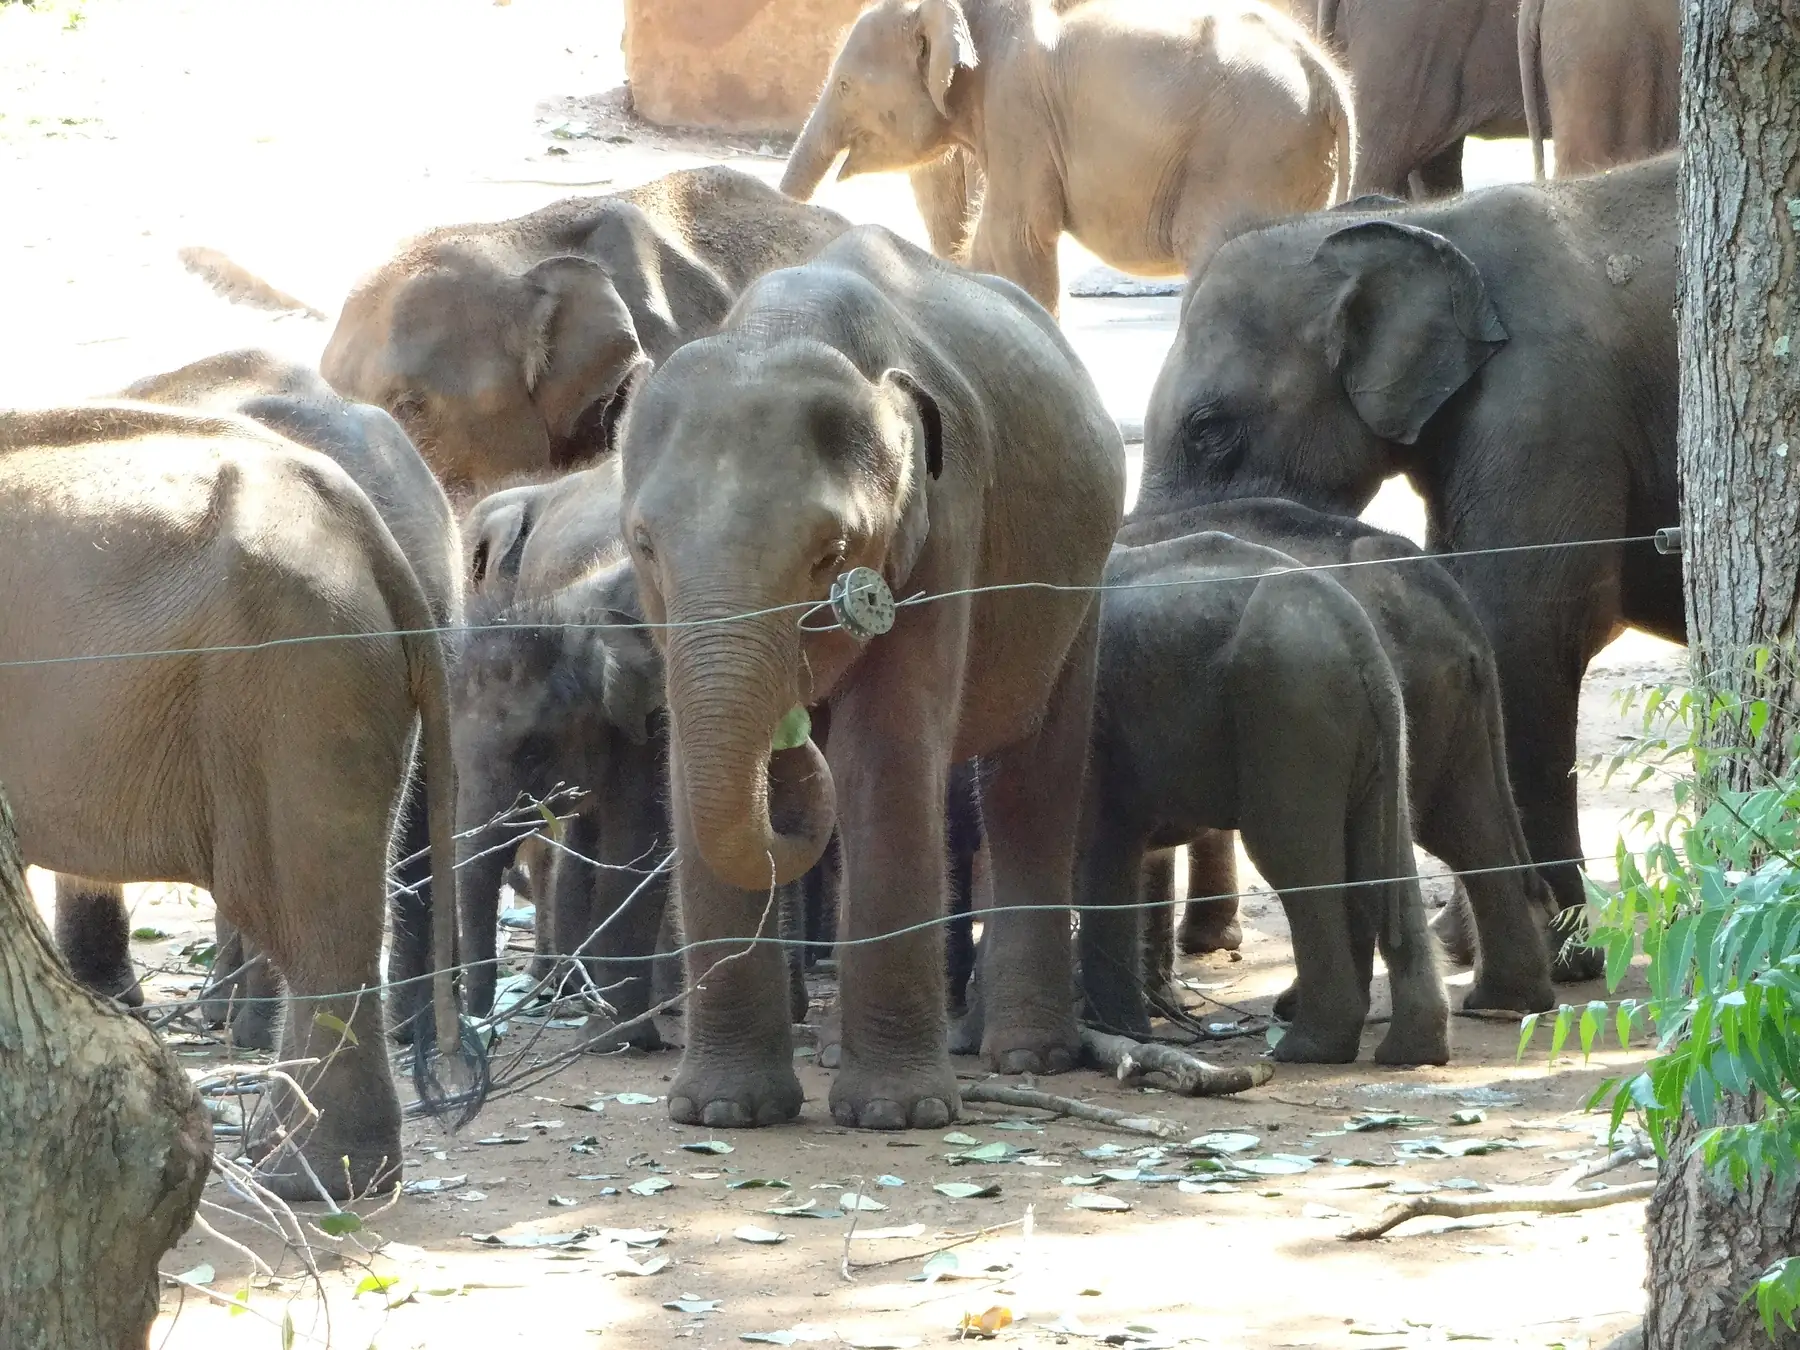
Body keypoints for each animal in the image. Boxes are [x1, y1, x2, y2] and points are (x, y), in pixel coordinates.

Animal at [616, 223, 1124, 1128]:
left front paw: (899, 1114)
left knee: (1030, 782)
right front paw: (722, 1115)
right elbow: (685, 769)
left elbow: (881, 757)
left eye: (832, 554)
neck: (778, 328)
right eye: (645, 543)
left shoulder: (948, 525)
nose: (792, 733)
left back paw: (1029, 1057)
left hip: (1080, 586)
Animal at [779, 0, 1354, 314]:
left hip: (1251, 155)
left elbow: (1019, 235)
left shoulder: (1016, 108)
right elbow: (992, 247)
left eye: (845, 85)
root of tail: (1326, 77)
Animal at [1076, 529, 1451, 1064]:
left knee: (1288, 854)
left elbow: (1097, 846)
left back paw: (1305, 1049)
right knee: (1384, 856)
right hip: (1377, 735)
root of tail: (1359, 637)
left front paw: (1114, 1031)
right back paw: (1412, 1052)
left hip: (1287, 707)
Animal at [1139, 153, 1681, 966]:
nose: (1210, 945)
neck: (1424, 224)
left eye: (1209, 427)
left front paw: (1551, 956)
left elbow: (1525, 634)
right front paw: (1464, 944)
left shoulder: (1547, 410)